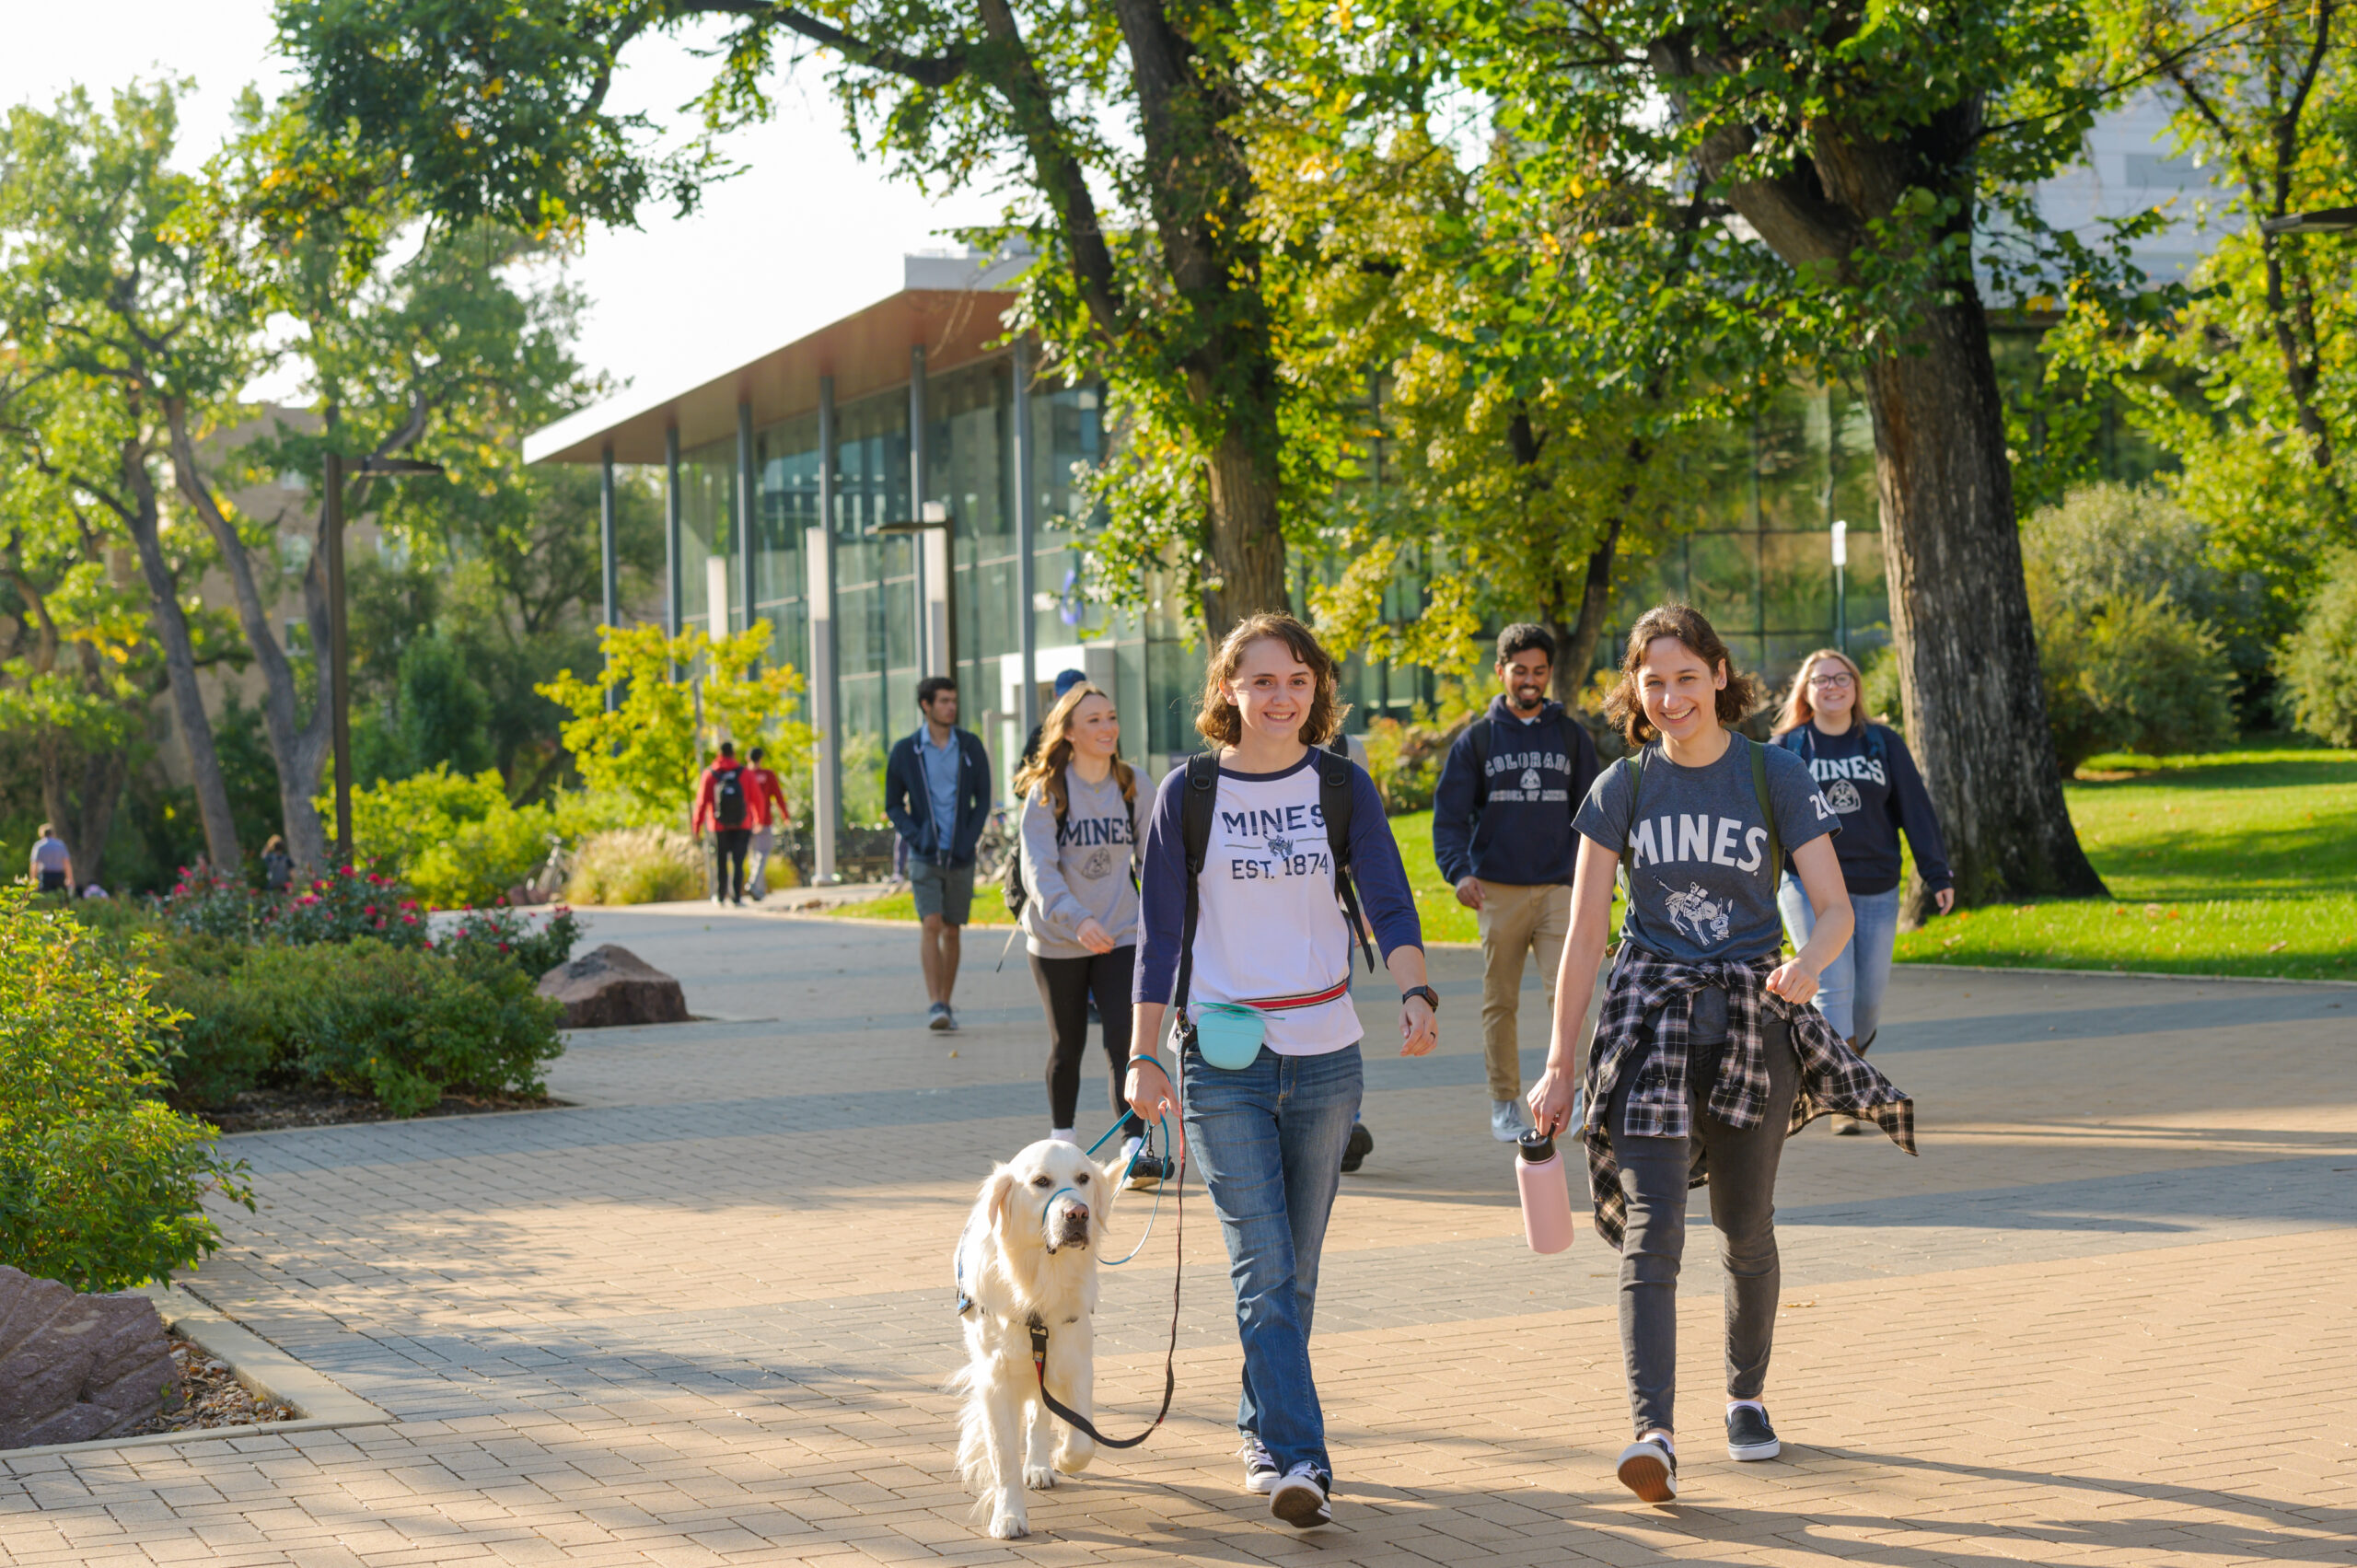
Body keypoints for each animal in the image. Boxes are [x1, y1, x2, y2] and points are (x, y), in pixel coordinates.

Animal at [943, 1132, 1117, 1537]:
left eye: (1083, 1178)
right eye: (1041, 1182)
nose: (1078, 1214)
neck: (1039, 1280)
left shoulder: (1075, 1361)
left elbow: (1082, 1439)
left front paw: (1063, 1458)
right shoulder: (995, 1380)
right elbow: (1003, 1456)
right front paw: (1009, 1516)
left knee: (1040, 1414)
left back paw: (1039, 1466)